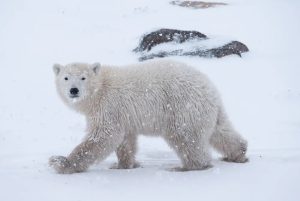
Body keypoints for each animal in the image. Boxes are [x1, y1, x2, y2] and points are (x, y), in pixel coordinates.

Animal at [49, 59, 248, 173]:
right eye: (66, 78)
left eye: (83, 78)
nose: (73, 90)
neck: (99, 90)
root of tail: (210, 89)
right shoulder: (123, 114)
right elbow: (125, 140)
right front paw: (123, 165)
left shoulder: (108, 106)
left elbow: (103, 136)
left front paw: (61, 163)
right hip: (204, 111)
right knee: (220, 131)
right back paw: (238, 153)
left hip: (182, 108)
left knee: (186, 138)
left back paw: (185, 167)